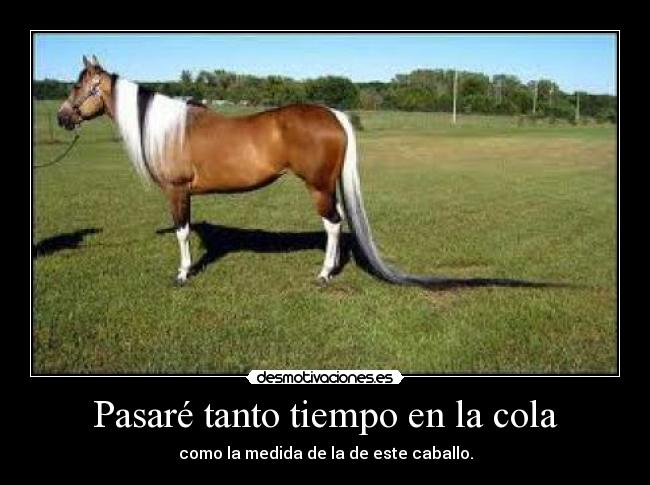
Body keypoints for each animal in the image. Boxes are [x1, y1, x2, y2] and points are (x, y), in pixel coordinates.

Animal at [57, 56, 557, 289]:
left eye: (81, 87)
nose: (63, 117)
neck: (168, 128)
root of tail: (332, 113)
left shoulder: (177, 192)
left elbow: (181, 234)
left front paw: (182, 275)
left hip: (317, 187)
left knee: (333, 226)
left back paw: (323, 274)